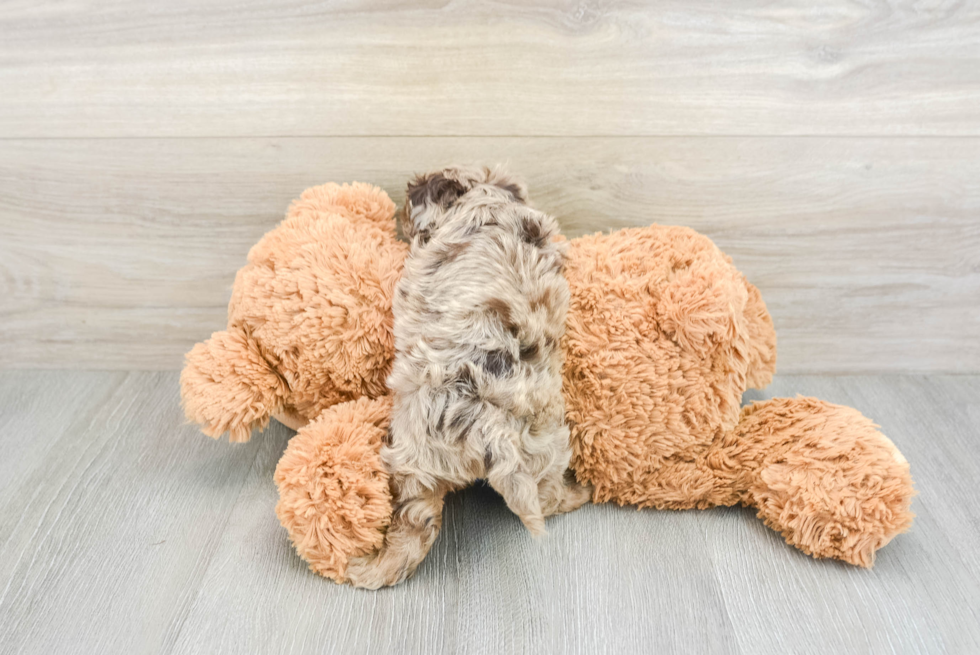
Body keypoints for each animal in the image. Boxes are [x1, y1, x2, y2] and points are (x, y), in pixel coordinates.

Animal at [344, 168, 588, 588]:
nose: (400, 213)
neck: (490, 200)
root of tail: (492, 428)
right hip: (548, 448)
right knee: (548, 497)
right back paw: (580, 491)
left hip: (413, 458)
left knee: (414, 525)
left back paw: (368, 569)